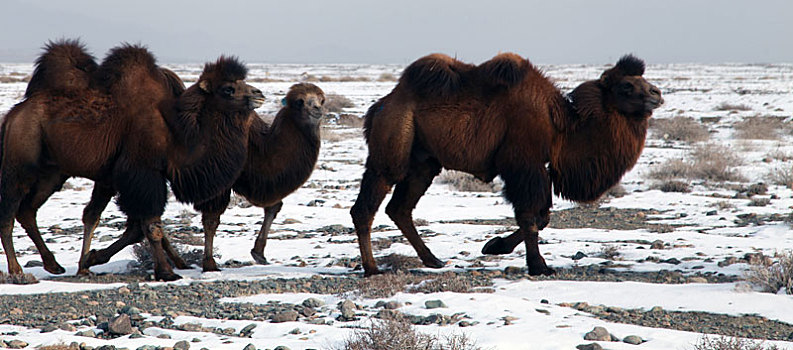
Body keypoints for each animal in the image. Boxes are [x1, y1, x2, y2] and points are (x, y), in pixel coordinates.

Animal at [1, 40, 264, 282]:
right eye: (228, 89)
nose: (259, 94)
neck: (177, 132)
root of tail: (13, 115)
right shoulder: (142, 173)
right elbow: (151, 226)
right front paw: (167, 272)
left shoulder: (122, 178)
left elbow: (129, 225)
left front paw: (90, 259)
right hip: (20, 165)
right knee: (9, 212)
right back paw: (17, 271)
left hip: (52, 173)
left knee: (28, 210)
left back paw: (54, 265)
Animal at [352, 52, 664, 276]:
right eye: (626, 86)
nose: (656, 94)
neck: (560, 124)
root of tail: (381, 105)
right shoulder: (522, 165)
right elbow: (529, 216)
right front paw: (539, 266)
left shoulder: (537, 168)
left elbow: (542, 216)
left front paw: (494, 246)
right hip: (392, 146)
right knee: (367, 205)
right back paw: (372, 269)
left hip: (424, 162)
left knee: (400, 208)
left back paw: (433, 260)